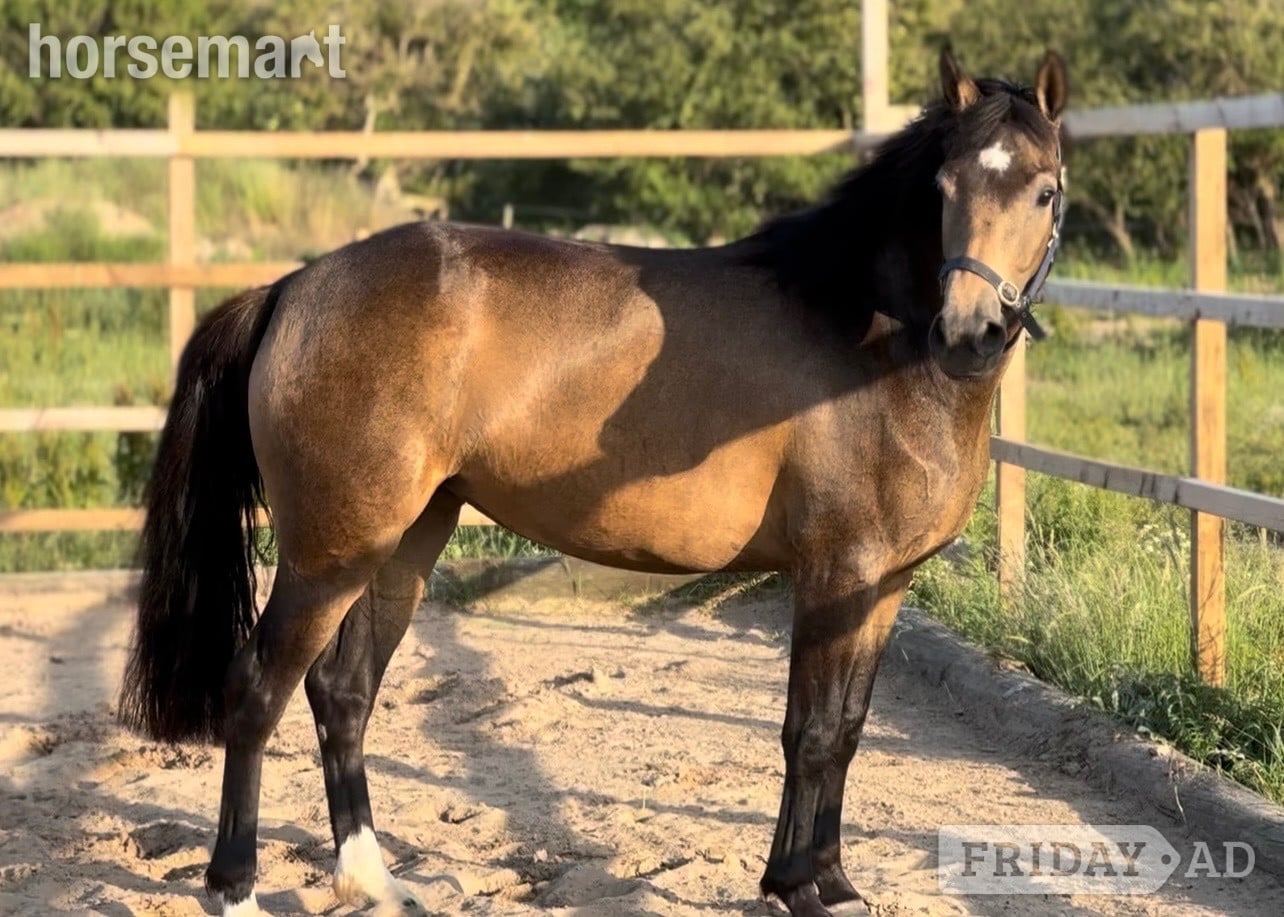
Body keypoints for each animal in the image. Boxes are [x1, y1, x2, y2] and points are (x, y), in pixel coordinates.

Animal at [118, 46, 1067, 917]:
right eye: (943, 186)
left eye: (1045, 192)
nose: (969, 332)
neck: (865, 343)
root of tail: (294, 287)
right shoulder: (836, 574)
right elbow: (810, 730)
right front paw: (798, 885)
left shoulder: (883, 584)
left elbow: (848, 731)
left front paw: (829, 879)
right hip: (330, 554)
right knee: (256, 690)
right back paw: (236, 888)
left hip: (403, 542)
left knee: (342, 692)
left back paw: (372, 878)